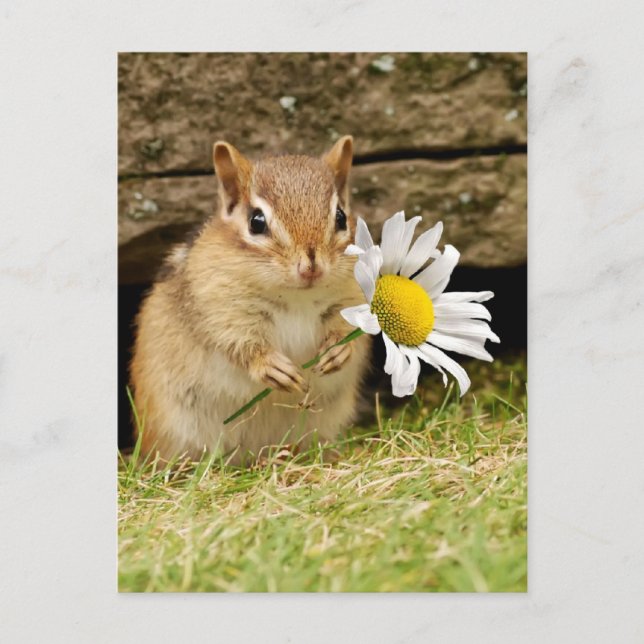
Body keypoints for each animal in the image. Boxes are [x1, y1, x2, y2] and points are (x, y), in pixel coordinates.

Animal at [130, 135, 371, 465]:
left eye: (341, 218)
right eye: (256, 222)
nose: (310, 266)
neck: (297, 297)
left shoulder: (351, 297)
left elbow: (350, 331)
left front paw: (338, 352)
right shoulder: (222, 308)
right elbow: (239, 343)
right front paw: (271, 367)